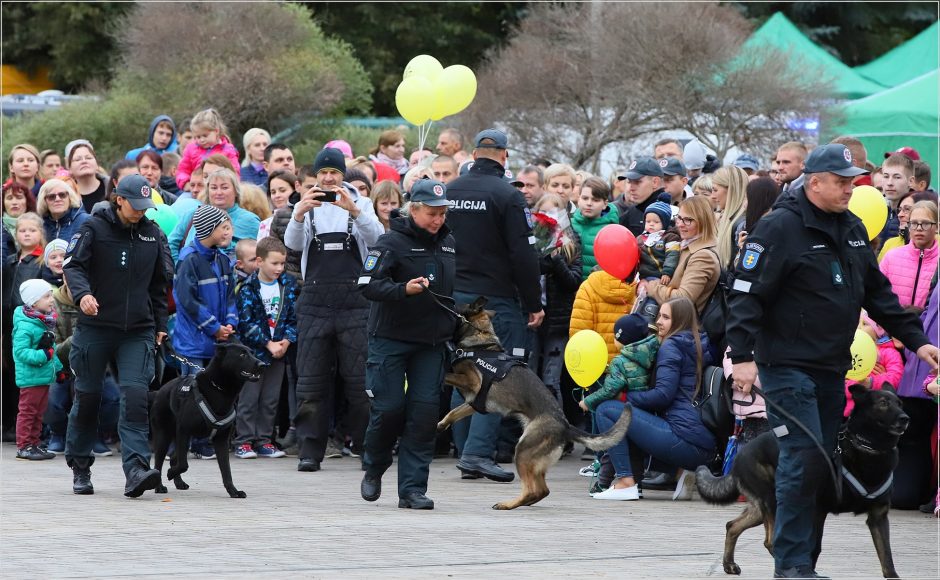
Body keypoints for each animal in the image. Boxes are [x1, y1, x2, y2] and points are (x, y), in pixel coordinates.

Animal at [151, 344, 262, 498]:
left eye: (252, 353)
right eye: (242, 355)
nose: (262, 364)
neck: (219, 389)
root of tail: (159, 390)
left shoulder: (221, 439)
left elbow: (226, 470)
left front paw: (233, 491)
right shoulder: (183, 430)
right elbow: (184, 464)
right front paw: (170, 473)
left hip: (182, 438)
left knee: (174, 457)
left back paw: (179, 482)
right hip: (165, 435)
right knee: (159, 462)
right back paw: (159, 486)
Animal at [438, 296, 632, 510]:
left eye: (456, 305)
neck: (481, 339)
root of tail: (566, 426)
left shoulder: (473, 382)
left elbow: (447, 375)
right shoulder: (474, 402)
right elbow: (454, 412)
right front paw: (442, 423)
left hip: (523, 451)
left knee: (534, 489)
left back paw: (507, 504)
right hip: (533, 459)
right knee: (542, 490)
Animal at [692, 382, 908, 576]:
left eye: (899, 403)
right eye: (883, 403)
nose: (905, 418)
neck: (869, 449)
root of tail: (741, 454)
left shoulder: (878, 517)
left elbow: (887, 556)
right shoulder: (818, 511)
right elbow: (814, 547)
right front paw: (807, 570)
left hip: (760, 509)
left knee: (733, 526)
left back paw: (729, 564)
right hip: (774, 501)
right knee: (771, 541)